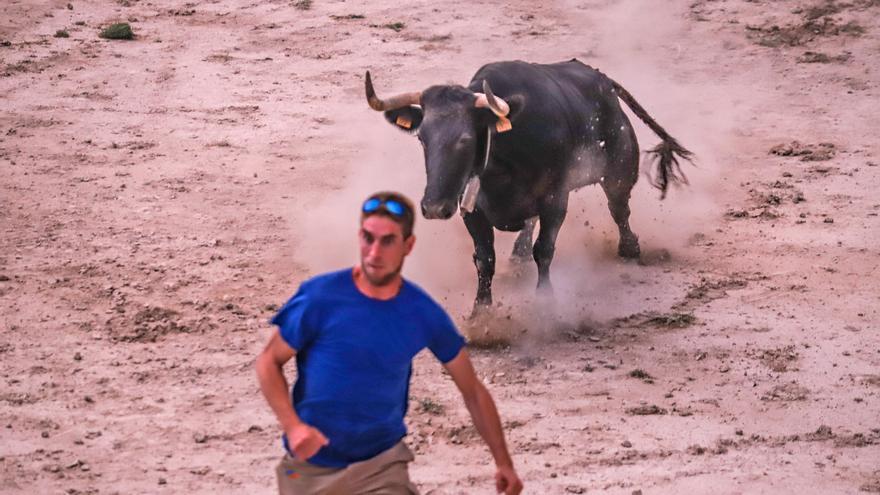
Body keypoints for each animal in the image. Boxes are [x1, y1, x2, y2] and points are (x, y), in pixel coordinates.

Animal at [364, 59, 696, 314]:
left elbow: (545, 250)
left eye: (465, 140)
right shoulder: (472, 210)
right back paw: (519, 251)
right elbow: (484, 259)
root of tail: (602, 79)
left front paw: (545, 301)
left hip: (619, 170)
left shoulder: (555, 200)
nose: (433, 207)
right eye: (422, 138)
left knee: (619, 209)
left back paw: (629, 248)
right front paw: (481, 313)